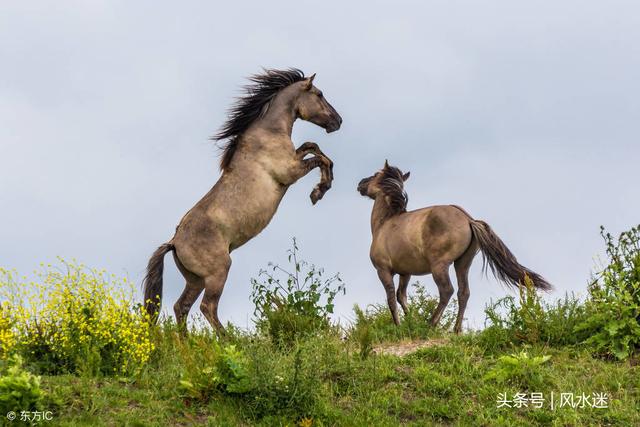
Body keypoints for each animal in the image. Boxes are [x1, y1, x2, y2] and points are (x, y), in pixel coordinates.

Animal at [142, 69, 342, 332]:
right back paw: (228, 338)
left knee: (181, 307)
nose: (338, 121)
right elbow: (319, 158)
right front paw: (319, 191)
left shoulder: (294, 159)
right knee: (207, 307)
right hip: (218, 272)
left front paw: (322, 186)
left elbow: (312, 147)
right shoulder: (290, 172)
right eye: (319, 94)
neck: (267, 134)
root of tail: (174, 242)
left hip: (196, 280)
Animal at [356, 161, 552, 334]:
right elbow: (401, 296)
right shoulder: (406, 273)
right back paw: (456, 330)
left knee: (447, 291)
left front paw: (399, 327)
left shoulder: (383, 270)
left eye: (375, 174)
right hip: (462, 264)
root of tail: (468, 219)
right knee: (463, 292)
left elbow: (391, 299)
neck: (385, 223)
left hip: (439, 266)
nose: (360, 184)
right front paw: (411, 322)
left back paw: (431, 324)